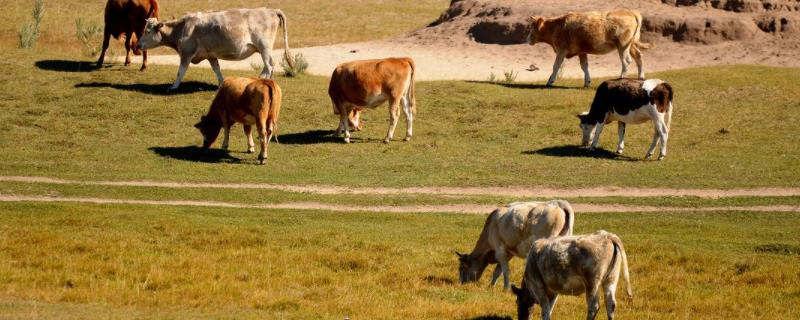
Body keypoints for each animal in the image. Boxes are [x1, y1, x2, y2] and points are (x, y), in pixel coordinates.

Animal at [137, 7, 294, 90]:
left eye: (148, 31)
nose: (138, 45)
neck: (182, 28)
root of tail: (271, 10)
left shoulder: (186, 54)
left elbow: (180, 72)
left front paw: (174, 87)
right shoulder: (210, 55)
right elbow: (217, 69)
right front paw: (221, 84)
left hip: (264, 47)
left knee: (269, 66)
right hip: (263, 49)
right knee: (268, 66)